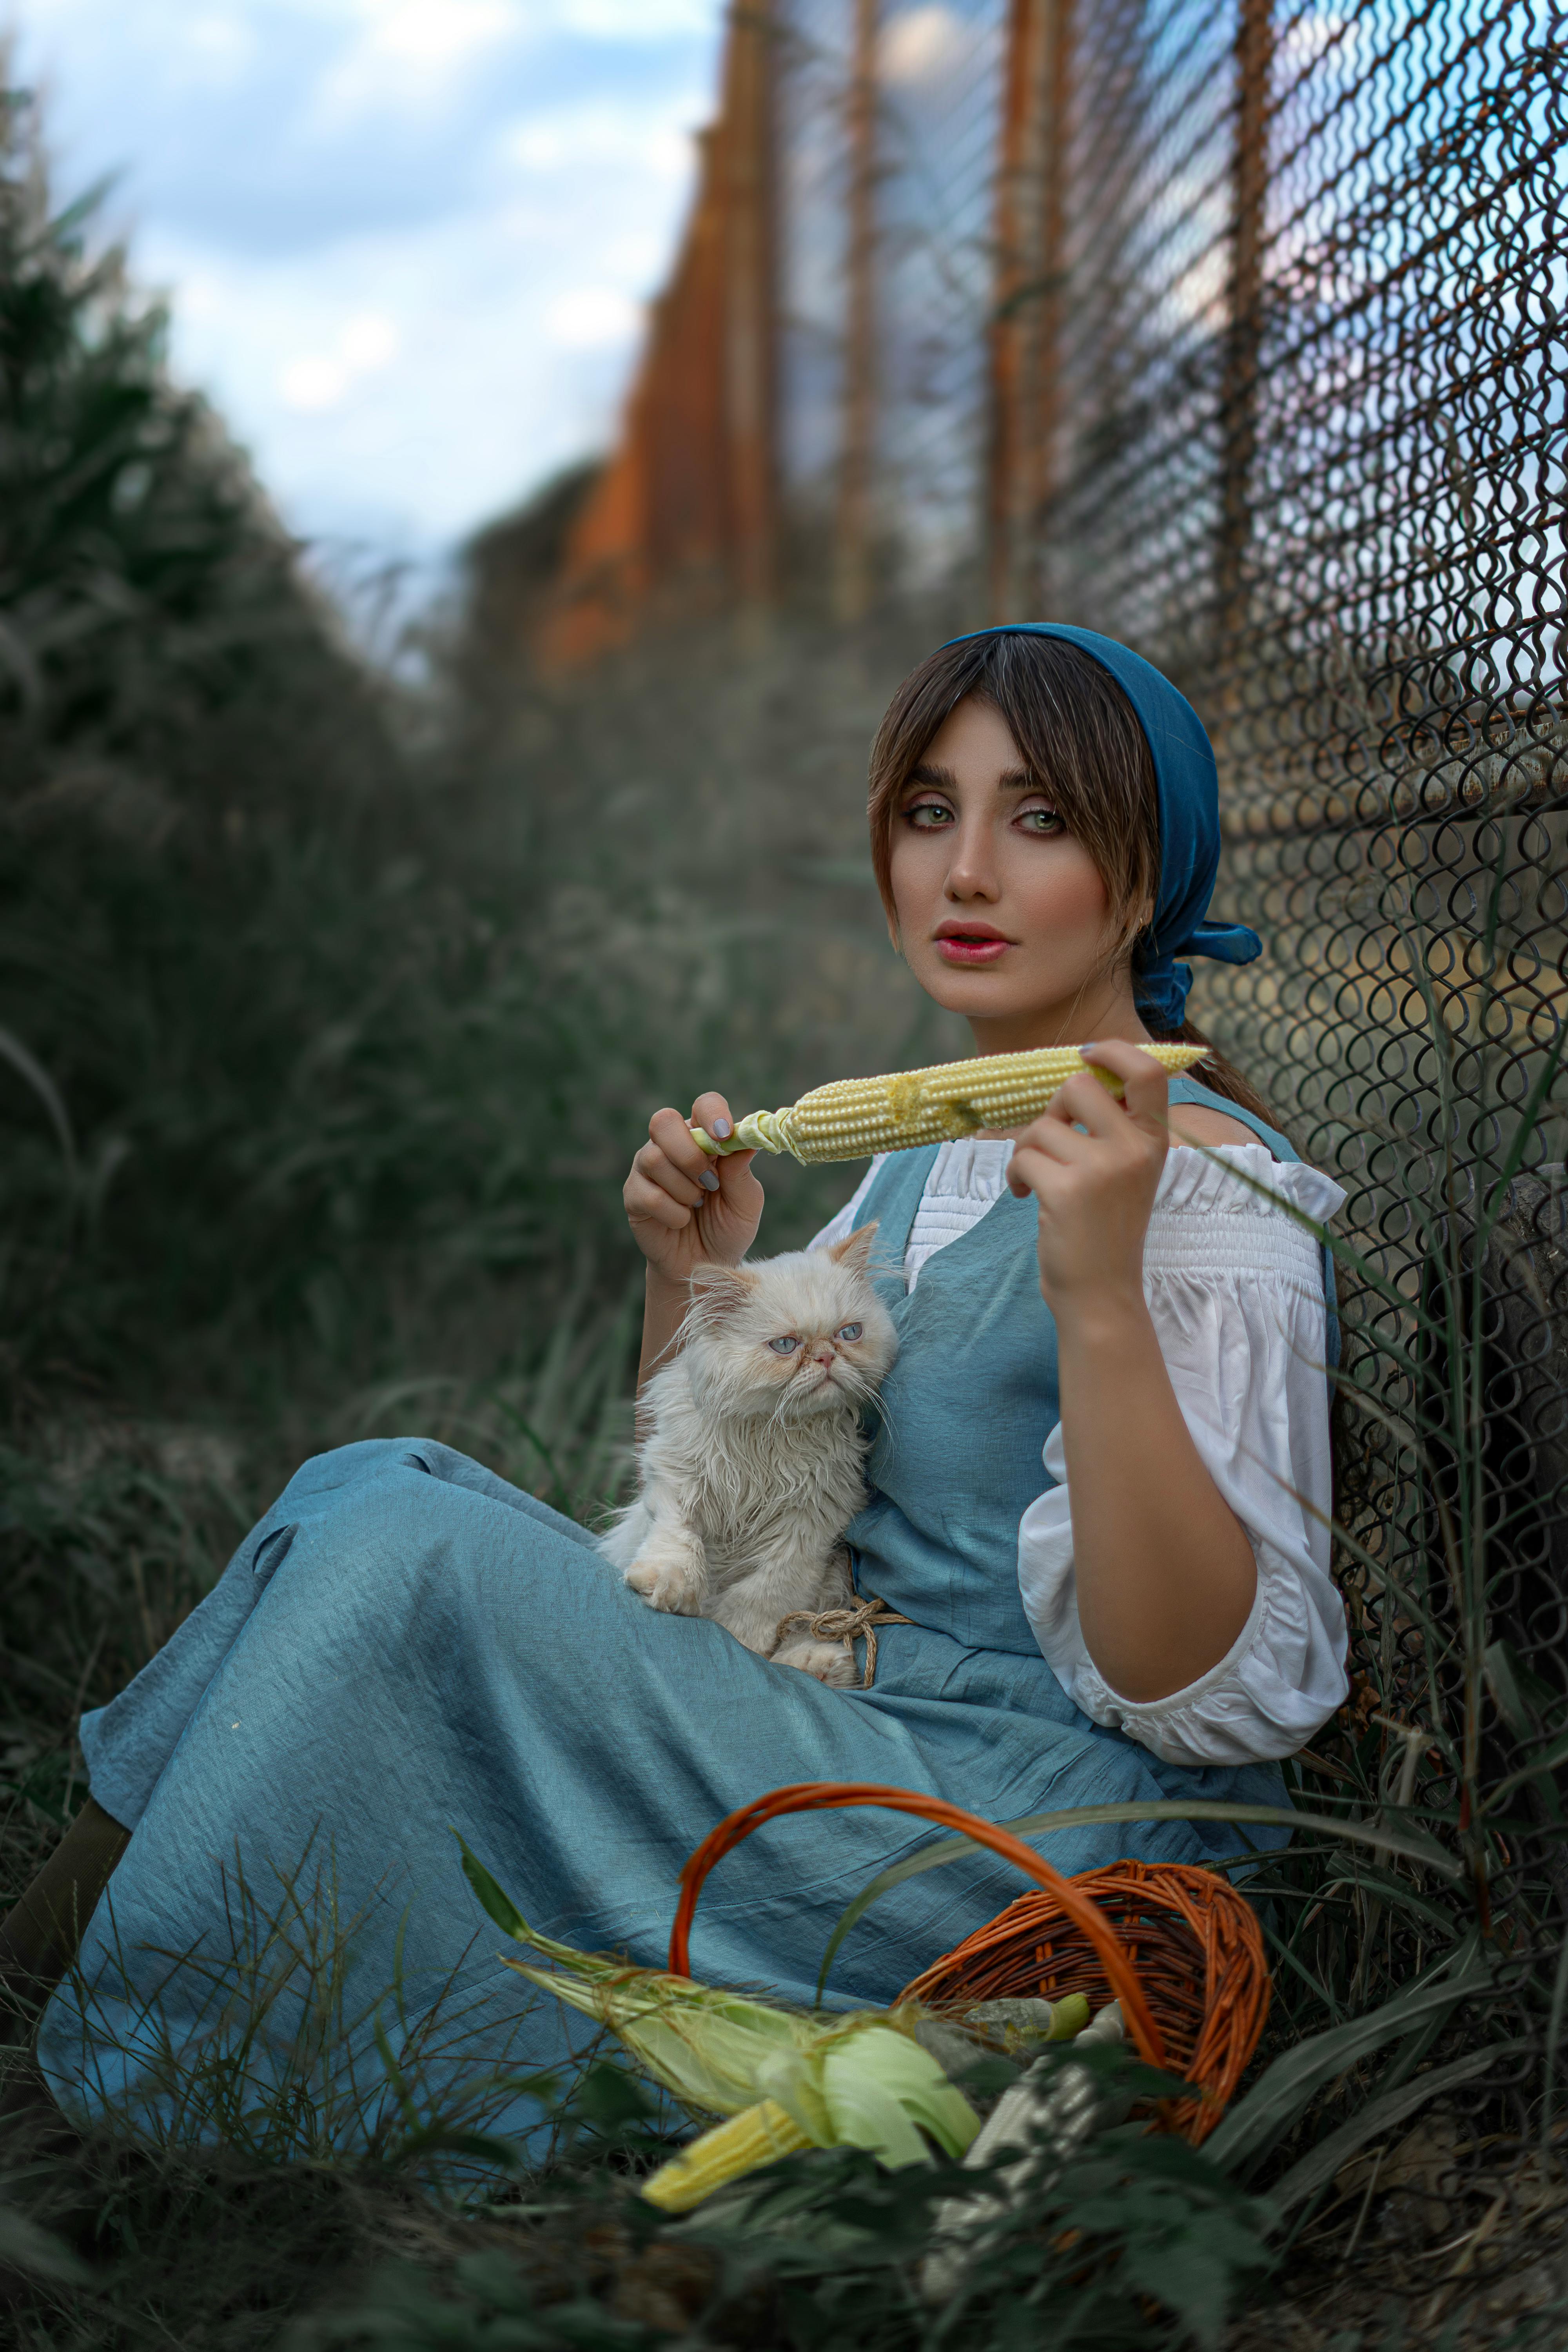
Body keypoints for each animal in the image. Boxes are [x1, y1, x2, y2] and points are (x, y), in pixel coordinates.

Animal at [597, 1223, 893, 1684]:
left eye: (849, 1334)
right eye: (786, 1345)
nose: (826, 1357)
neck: (771, 1436)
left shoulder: (808, 1528)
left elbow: (762, 1597)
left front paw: (736, 1642)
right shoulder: (678, 1477)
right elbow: (679, 1540)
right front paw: (670, 1587)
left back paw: (824, 1665)